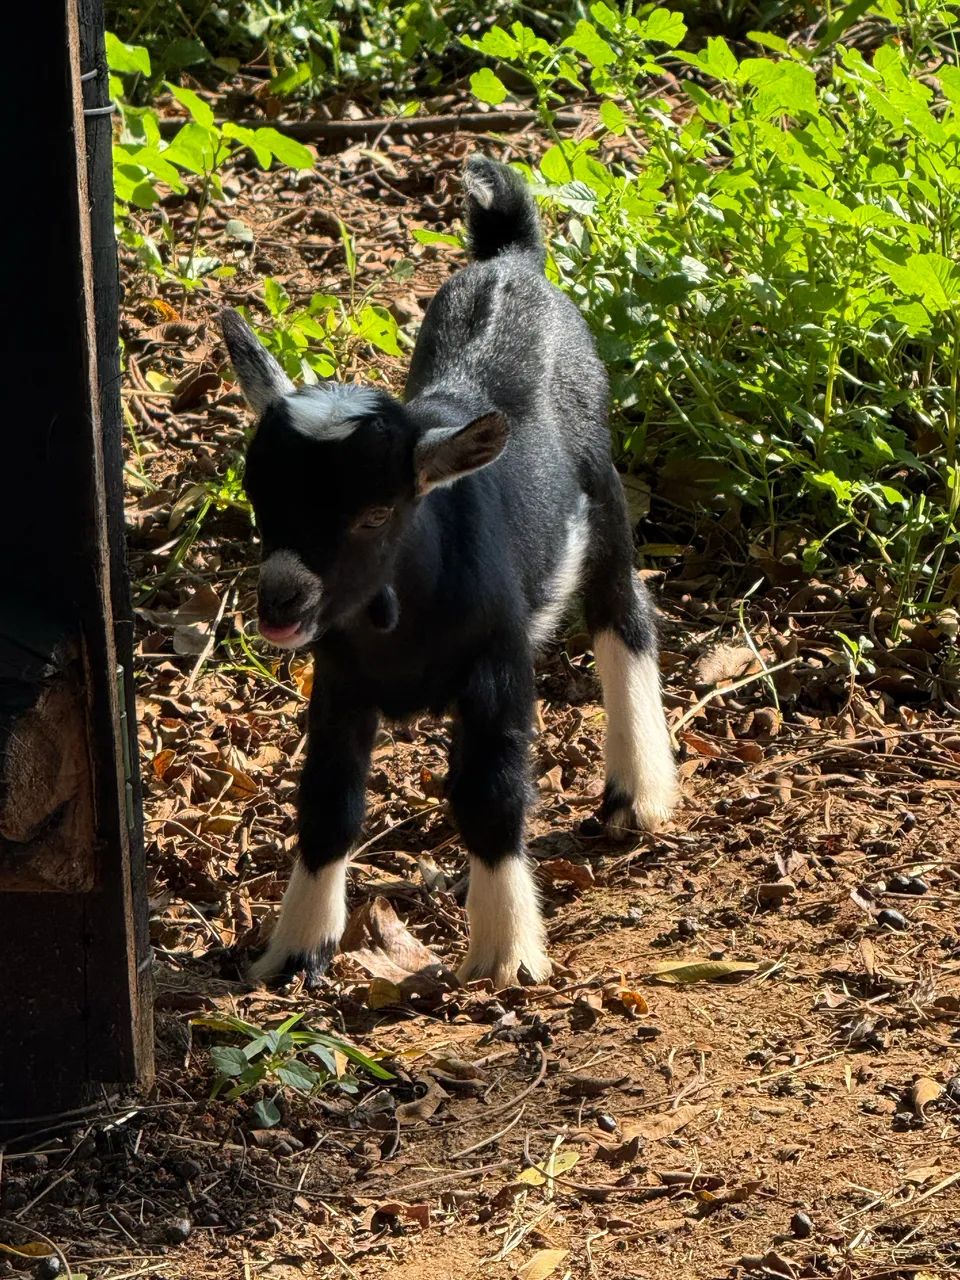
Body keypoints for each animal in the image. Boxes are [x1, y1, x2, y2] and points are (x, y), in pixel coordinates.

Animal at [219, 155, 677, 989]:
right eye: (257, 495)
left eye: (375, 514)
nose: (280, 603)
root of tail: (511, 259)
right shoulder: (340, 682)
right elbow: (328, 801)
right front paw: (296, 947)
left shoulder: (498, 664)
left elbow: (490, 794)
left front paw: (506, 951)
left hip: (603, 485)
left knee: (621, 610)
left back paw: (638, 792)